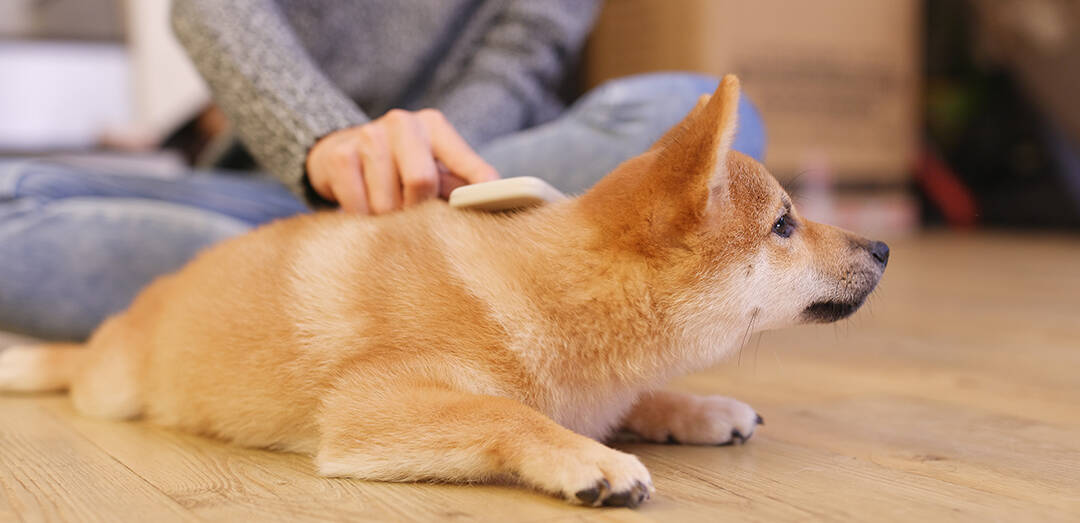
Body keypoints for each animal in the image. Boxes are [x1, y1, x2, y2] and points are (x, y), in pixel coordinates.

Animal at [2, 76, 885, 505]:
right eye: (783, 224)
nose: (881, 245)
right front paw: (587, 456)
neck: (562, 298)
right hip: (114, 385)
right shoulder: (370, 408)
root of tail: (125, 327)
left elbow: (637, 396)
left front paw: (693, 408)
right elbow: (507, 412)